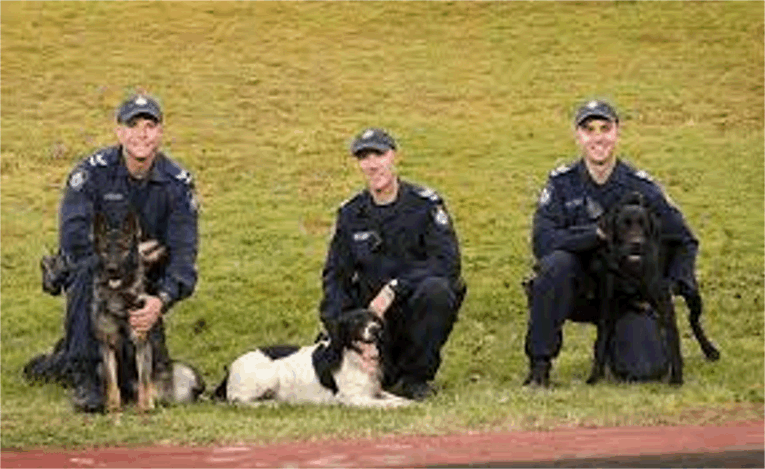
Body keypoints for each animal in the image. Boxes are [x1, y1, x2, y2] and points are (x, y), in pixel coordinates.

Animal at [92, 210, 158, 412]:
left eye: (123, 248)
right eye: (105, 249)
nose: (112, 269)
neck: (118, 297)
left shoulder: (141, 343)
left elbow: (144, 380)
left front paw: (146, 406)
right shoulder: (107, 346)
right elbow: (112, 382)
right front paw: (113, 408)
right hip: (98, 366)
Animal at [584, 192, 716, 386]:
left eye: (643, 224)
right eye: (624, 224)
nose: (637, 243)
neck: (631, 269)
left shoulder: (665, 305)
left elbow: (674, 343)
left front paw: (677, 379)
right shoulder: (607, 308)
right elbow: (601, 343)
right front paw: (594, 377)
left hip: (691, 290)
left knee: (693, 321)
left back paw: (709, 350)